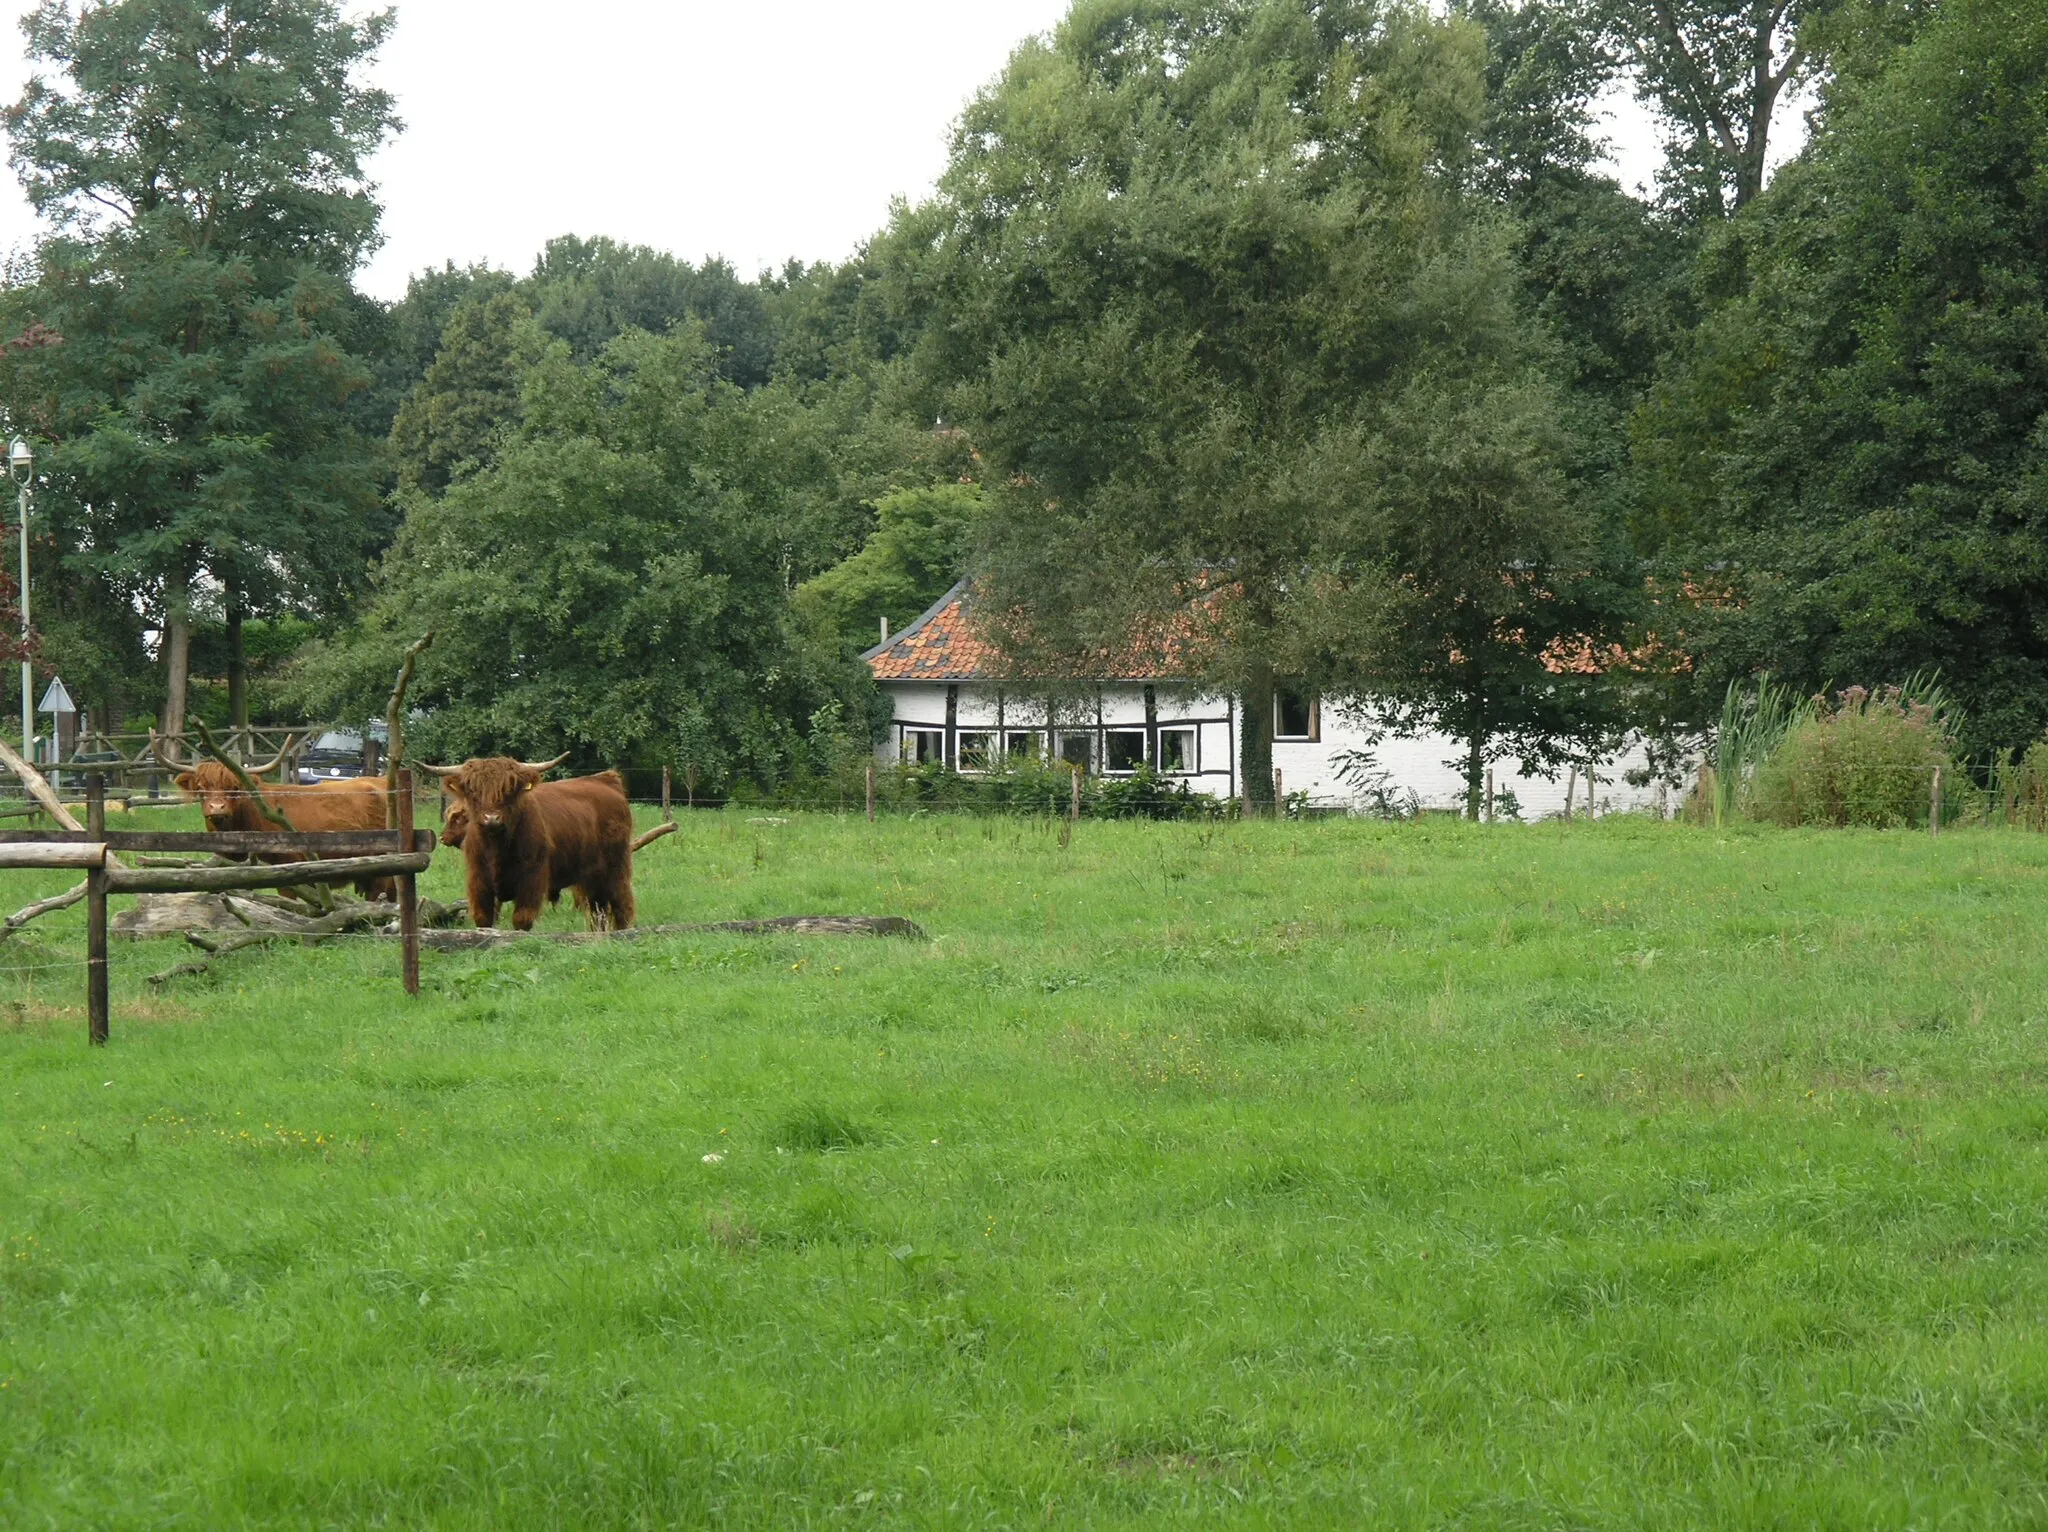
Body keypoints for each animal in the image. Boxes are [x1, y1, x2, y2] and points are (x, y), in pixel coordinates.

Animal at [423, 757, 630, 933]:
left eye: (509, 790)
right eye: (473, 791)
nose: (492, 818)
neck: (497, 848)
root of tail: (605, 779)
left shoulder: (532, 879)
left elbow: (522, 919)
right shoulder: (478, 879)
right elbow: (484, 919)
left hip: (616, 867)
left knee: (621, 904)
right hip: (591, 876)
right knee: (597, 910)